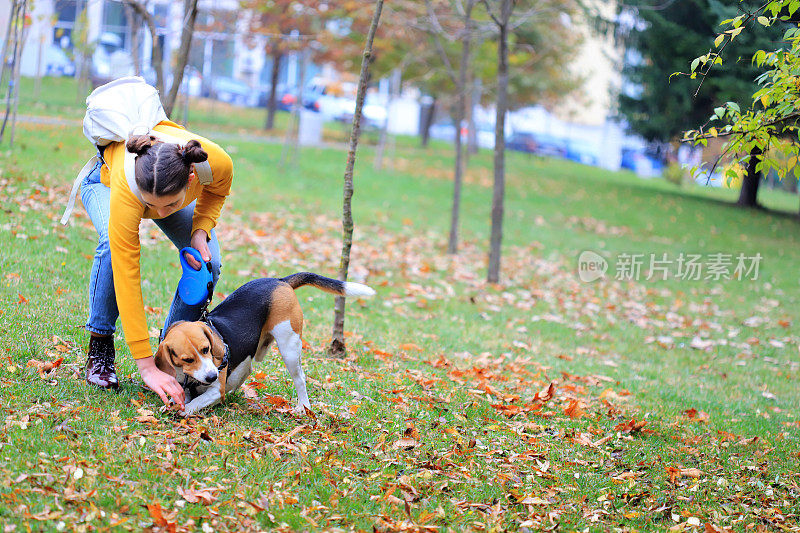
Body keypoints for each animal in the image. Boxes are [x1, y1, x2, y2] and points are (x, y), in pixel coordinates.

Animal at [159, 274, 378, 416]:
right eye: (187, 359)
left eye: (206, 349)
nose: (212, 375)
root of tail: (279, 281)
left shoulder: (215, 390)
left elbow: (196, 401)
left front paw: (184, 410)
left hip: (290, 347)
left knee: (300, 380)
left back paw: (303, 407)